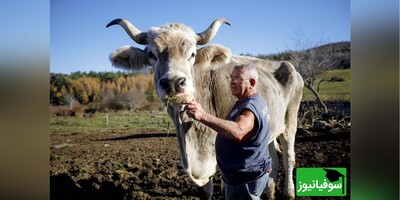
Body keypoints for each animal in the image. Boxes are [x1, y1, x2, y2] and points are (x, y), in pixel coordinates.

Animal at [106, 18, 304, 199]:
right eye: (152, 54)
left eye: (192, 54)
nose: (173, 82)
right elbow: (206, 190)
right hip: (270, 130)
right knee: (274, 159)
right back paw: (270, 192)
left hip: (290, 120)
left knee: (288, 156)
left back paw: (289, 192)